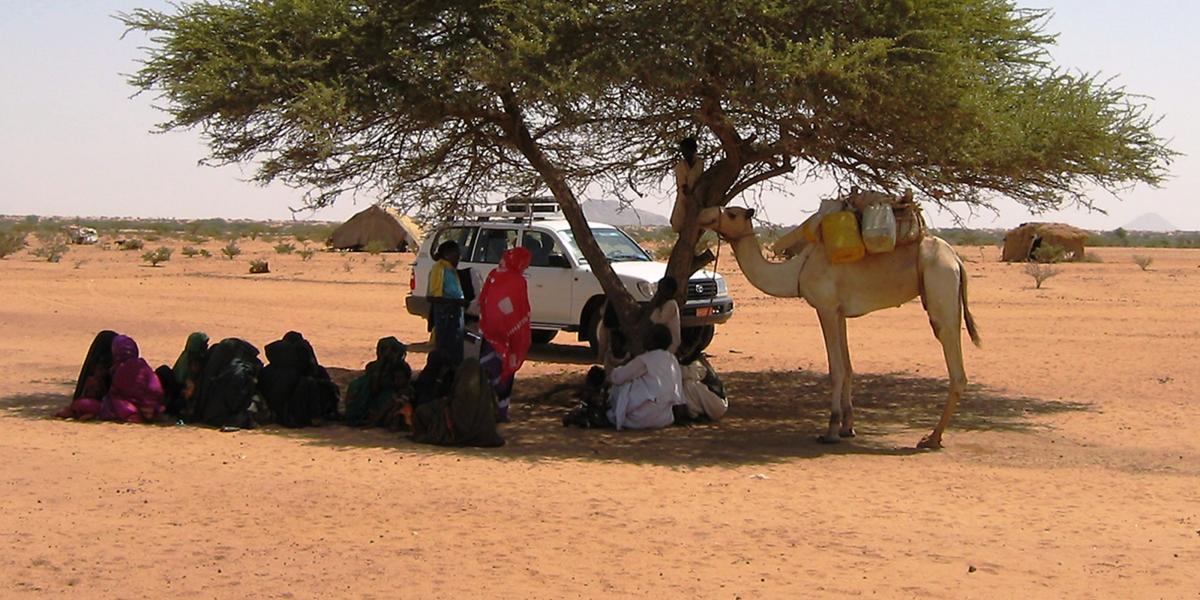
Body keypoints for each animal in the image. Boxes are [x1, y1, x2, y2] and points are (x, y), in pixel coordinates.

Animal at [700, 204, 979, 448]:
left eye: (733, 213)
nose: (705, 214)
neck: (797, 270)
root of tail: (957, 260)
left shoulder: (825, 308)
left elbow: (836, 369)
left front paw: (831, 431)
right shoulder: (840, 312)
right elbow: (849, 367)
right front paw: (848, 427)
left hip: (941, 287)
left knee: (956, 367)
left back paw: (932, 438)